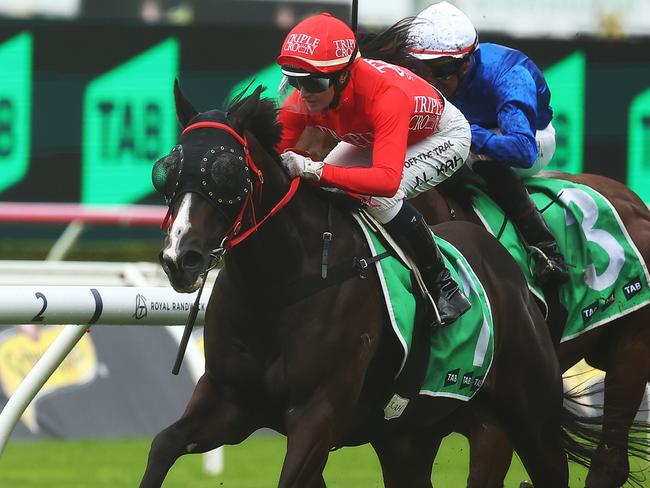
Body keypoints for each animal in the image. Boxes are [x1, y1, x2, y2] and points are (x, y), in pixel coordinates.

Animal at [140, 85, 616, 488]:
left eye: (226, 170)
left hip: (527, 414)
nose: (180, 258)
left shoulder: (317, 414)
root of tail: (507, 265)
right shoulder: (230, 400)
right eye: (168, 169)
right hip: (410, 434)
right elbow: (162, 445)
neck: (280, 287)